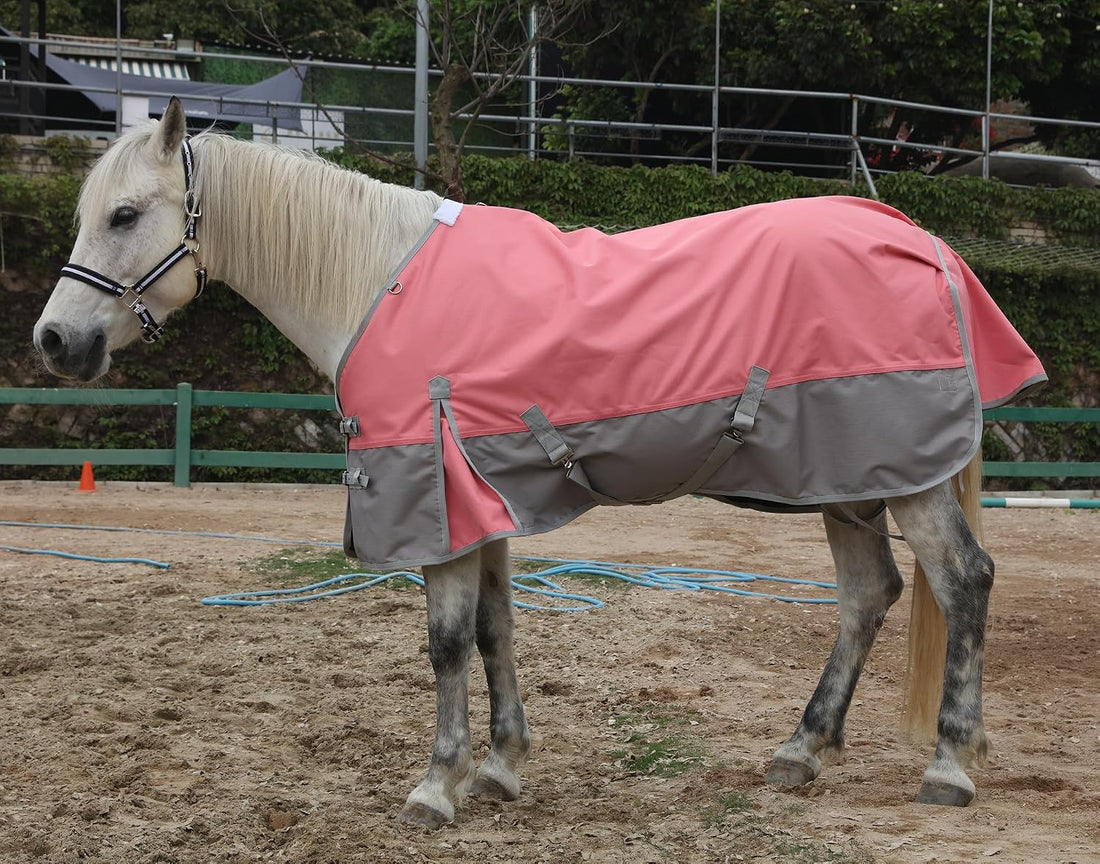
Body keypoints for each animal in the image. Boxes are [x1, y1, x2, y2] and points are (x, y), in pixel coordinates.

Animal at [33, 98, 1046, 830]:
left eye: (124, 214)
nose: (54, 342)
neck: (375, 281)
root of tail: (919, 238)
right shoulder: (481, 503)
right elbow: (494, 631)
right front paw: (499, 769)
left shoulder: (435, 502)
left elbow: (444, 643)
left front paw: (435, 787)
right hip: (850, 480)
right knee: (869, 594)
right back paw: (801, 751)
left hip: (905, 477)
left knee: (963, 581)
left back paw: (949, 765)